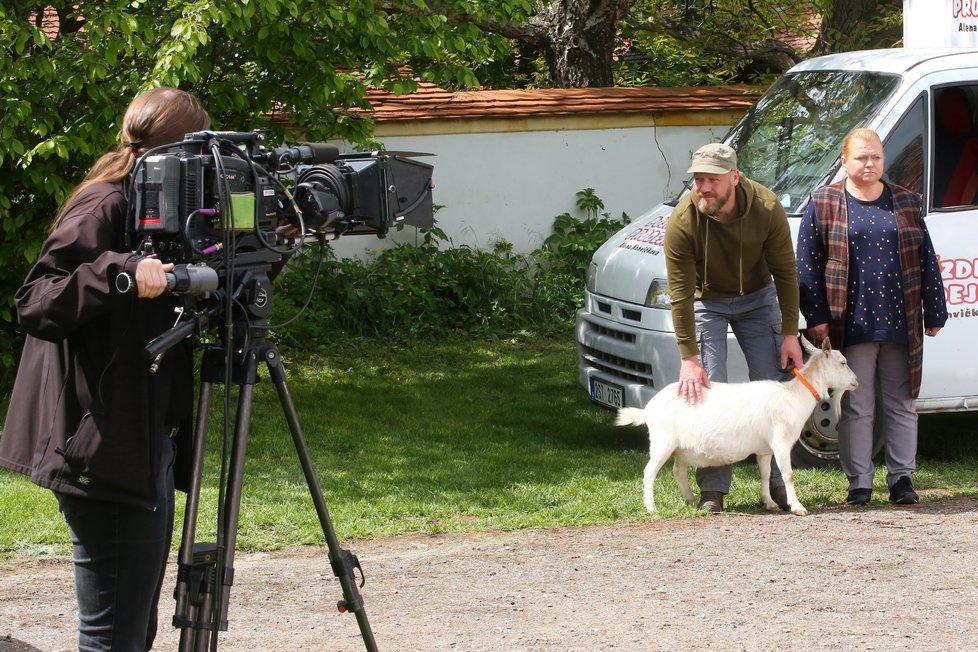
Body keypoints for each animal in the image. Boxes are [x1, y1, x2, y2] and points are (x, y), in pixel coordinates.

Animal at [616, 338, 856, 516]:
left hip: (681, 448)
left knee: (678, 471)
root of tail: (647, 410)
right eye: (843, 362)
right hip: (662, 442)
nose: (856, 381)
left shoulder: (764, 449)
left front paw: (770, 503)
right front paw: (797, 507)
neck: (792, 396)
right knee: (649, 472)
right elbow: (788, 474)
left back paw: (691, 500)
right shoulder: (781, 443)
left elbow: (765, 473)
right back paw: (651, 507)